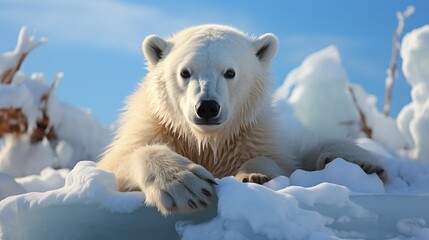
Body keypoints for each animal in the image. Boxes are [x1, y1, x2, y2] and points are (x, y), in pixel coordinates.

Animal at [97, 24, 384, 216]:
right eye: (185, 72)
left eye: (230, 72)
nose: (207, 107)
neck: (208, 141)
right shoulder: (157, 128)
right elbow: (118, 162)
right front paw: (186, 186)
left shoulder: (250, 135)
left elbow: (279, 162)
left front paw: (255, 176)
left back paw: (361, 162)